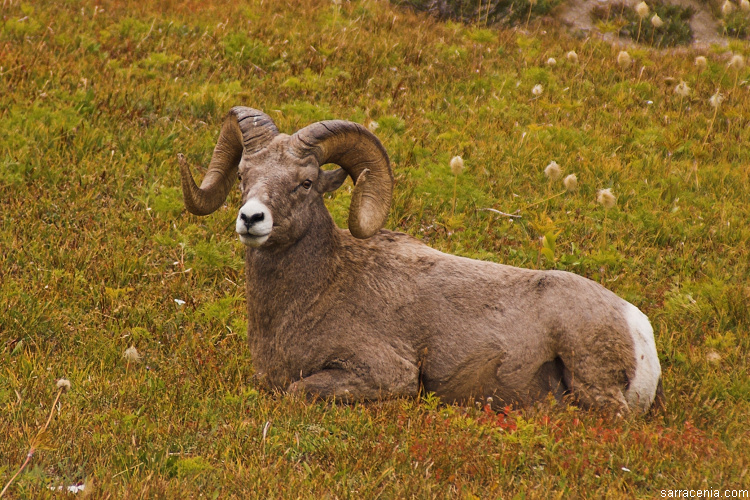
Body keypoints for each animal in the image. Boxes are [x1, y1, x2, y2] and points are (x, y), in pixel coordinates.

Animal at [181, 108, 664, 414]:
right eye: (243, 176)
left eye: (305, 183)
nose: (251, 219)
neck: (316, 292)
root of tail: (638, 326)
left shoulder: (385, 375)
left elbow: (297, 392)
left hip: (592, 382)